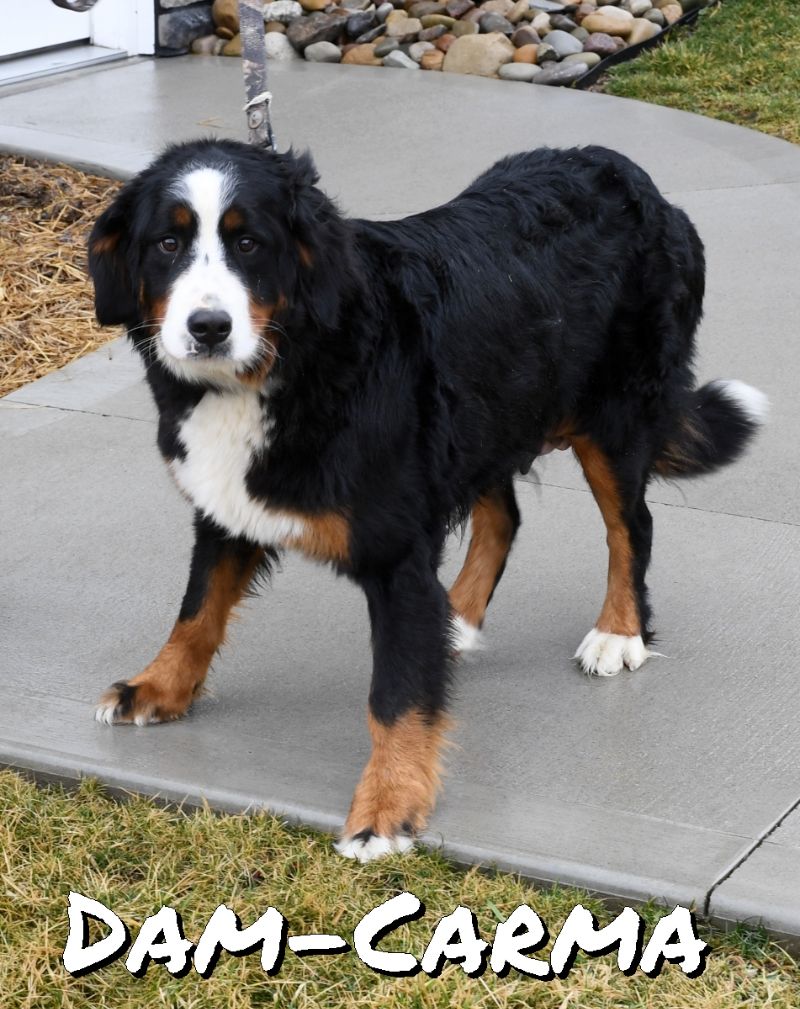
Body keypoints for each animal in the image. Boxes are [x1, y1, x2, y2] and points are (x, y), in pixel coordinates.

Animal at [88, 140, 766, 859]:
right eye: (167, 243)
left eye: (249, 243)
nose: (209, 326)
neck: (295, 359)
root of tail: (633, 177)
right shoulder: (226, 503)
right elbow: (198, 608)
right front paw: (158, 686)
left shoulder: (397, 552)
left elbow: (396, 695)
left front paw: (388, 805)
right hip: (485, 412)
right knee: (505, 515)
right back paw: (456, 620)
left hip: (611, 419)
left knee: (630, 525)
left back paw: (618, 631)